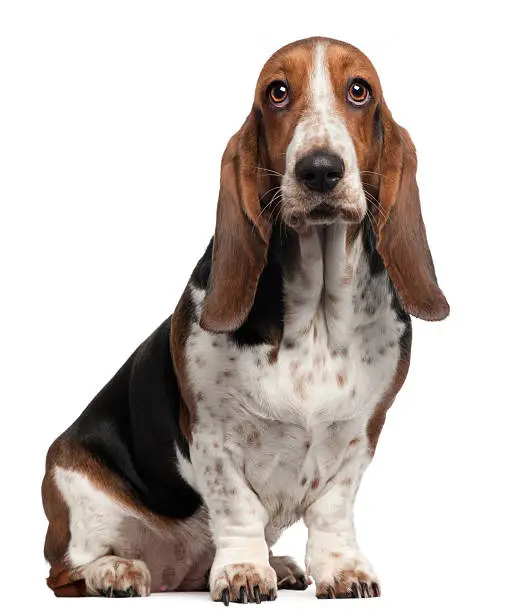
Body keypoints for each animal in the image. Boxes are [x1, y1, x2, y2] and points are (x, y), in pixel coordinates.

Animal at [43, 38, 452, 604]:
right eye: (276, 92)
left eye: (359, 90)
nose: (320, 169)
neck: (318, 318)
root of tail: (174, 570)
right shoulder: (214, 438)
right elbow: (238, 510)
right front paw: (243, 572)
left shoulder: (361, 433)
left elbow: (333, 509)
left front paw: (341, 569)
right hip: (75, 490)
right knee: (68, 571)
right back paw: (117, 572)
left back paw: (276, 564)